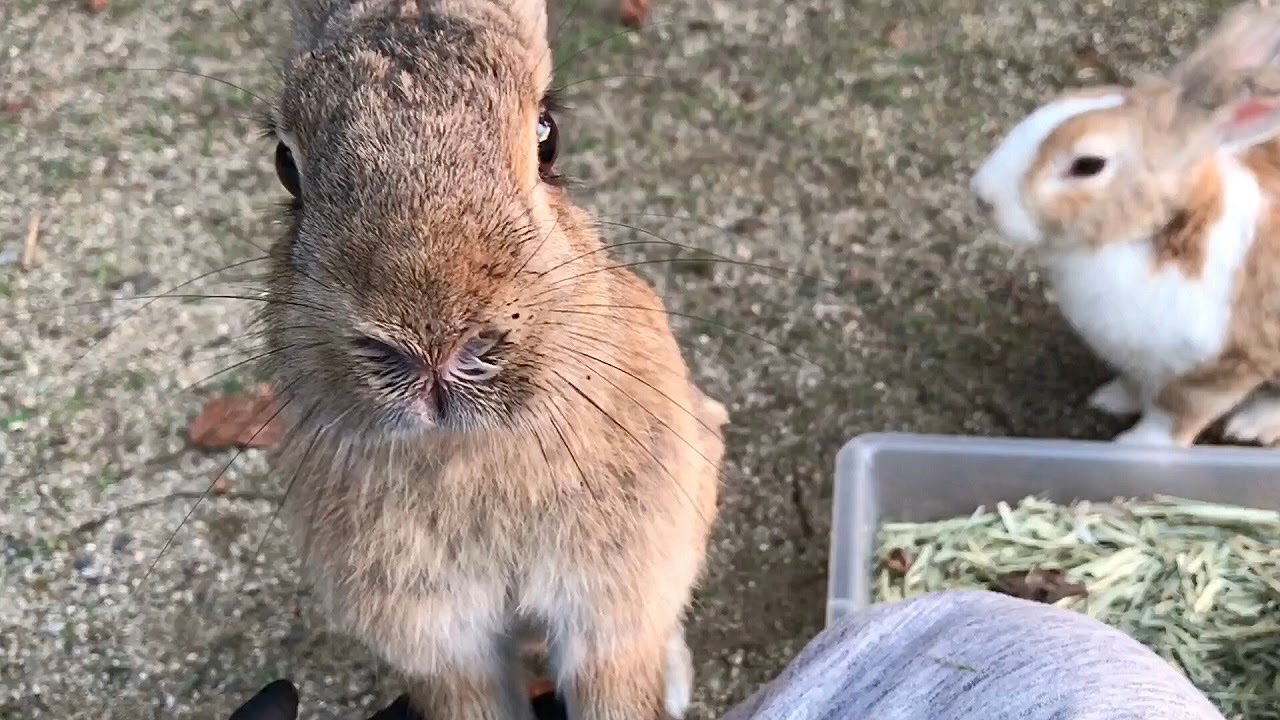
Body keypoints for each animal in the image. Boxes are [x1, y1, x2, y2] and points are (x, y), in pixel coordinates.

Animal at [257, 1, 727, 719]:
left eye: (548, 136)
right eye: (286, 165)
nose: (434, 348)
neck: (467, 450)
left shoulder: (611, 608)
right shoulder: (438, 645)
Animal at [969, 0, 1280, 448]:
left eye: (1087, 165)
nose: (982, 196)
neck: (1153, 235)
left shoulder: (1220, 371)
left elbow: (1174, 413)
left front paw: (1136, 446)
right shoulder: (1136, 361)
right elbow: (1134, 386)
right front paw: (1109, 399)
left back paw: (1252, 426)